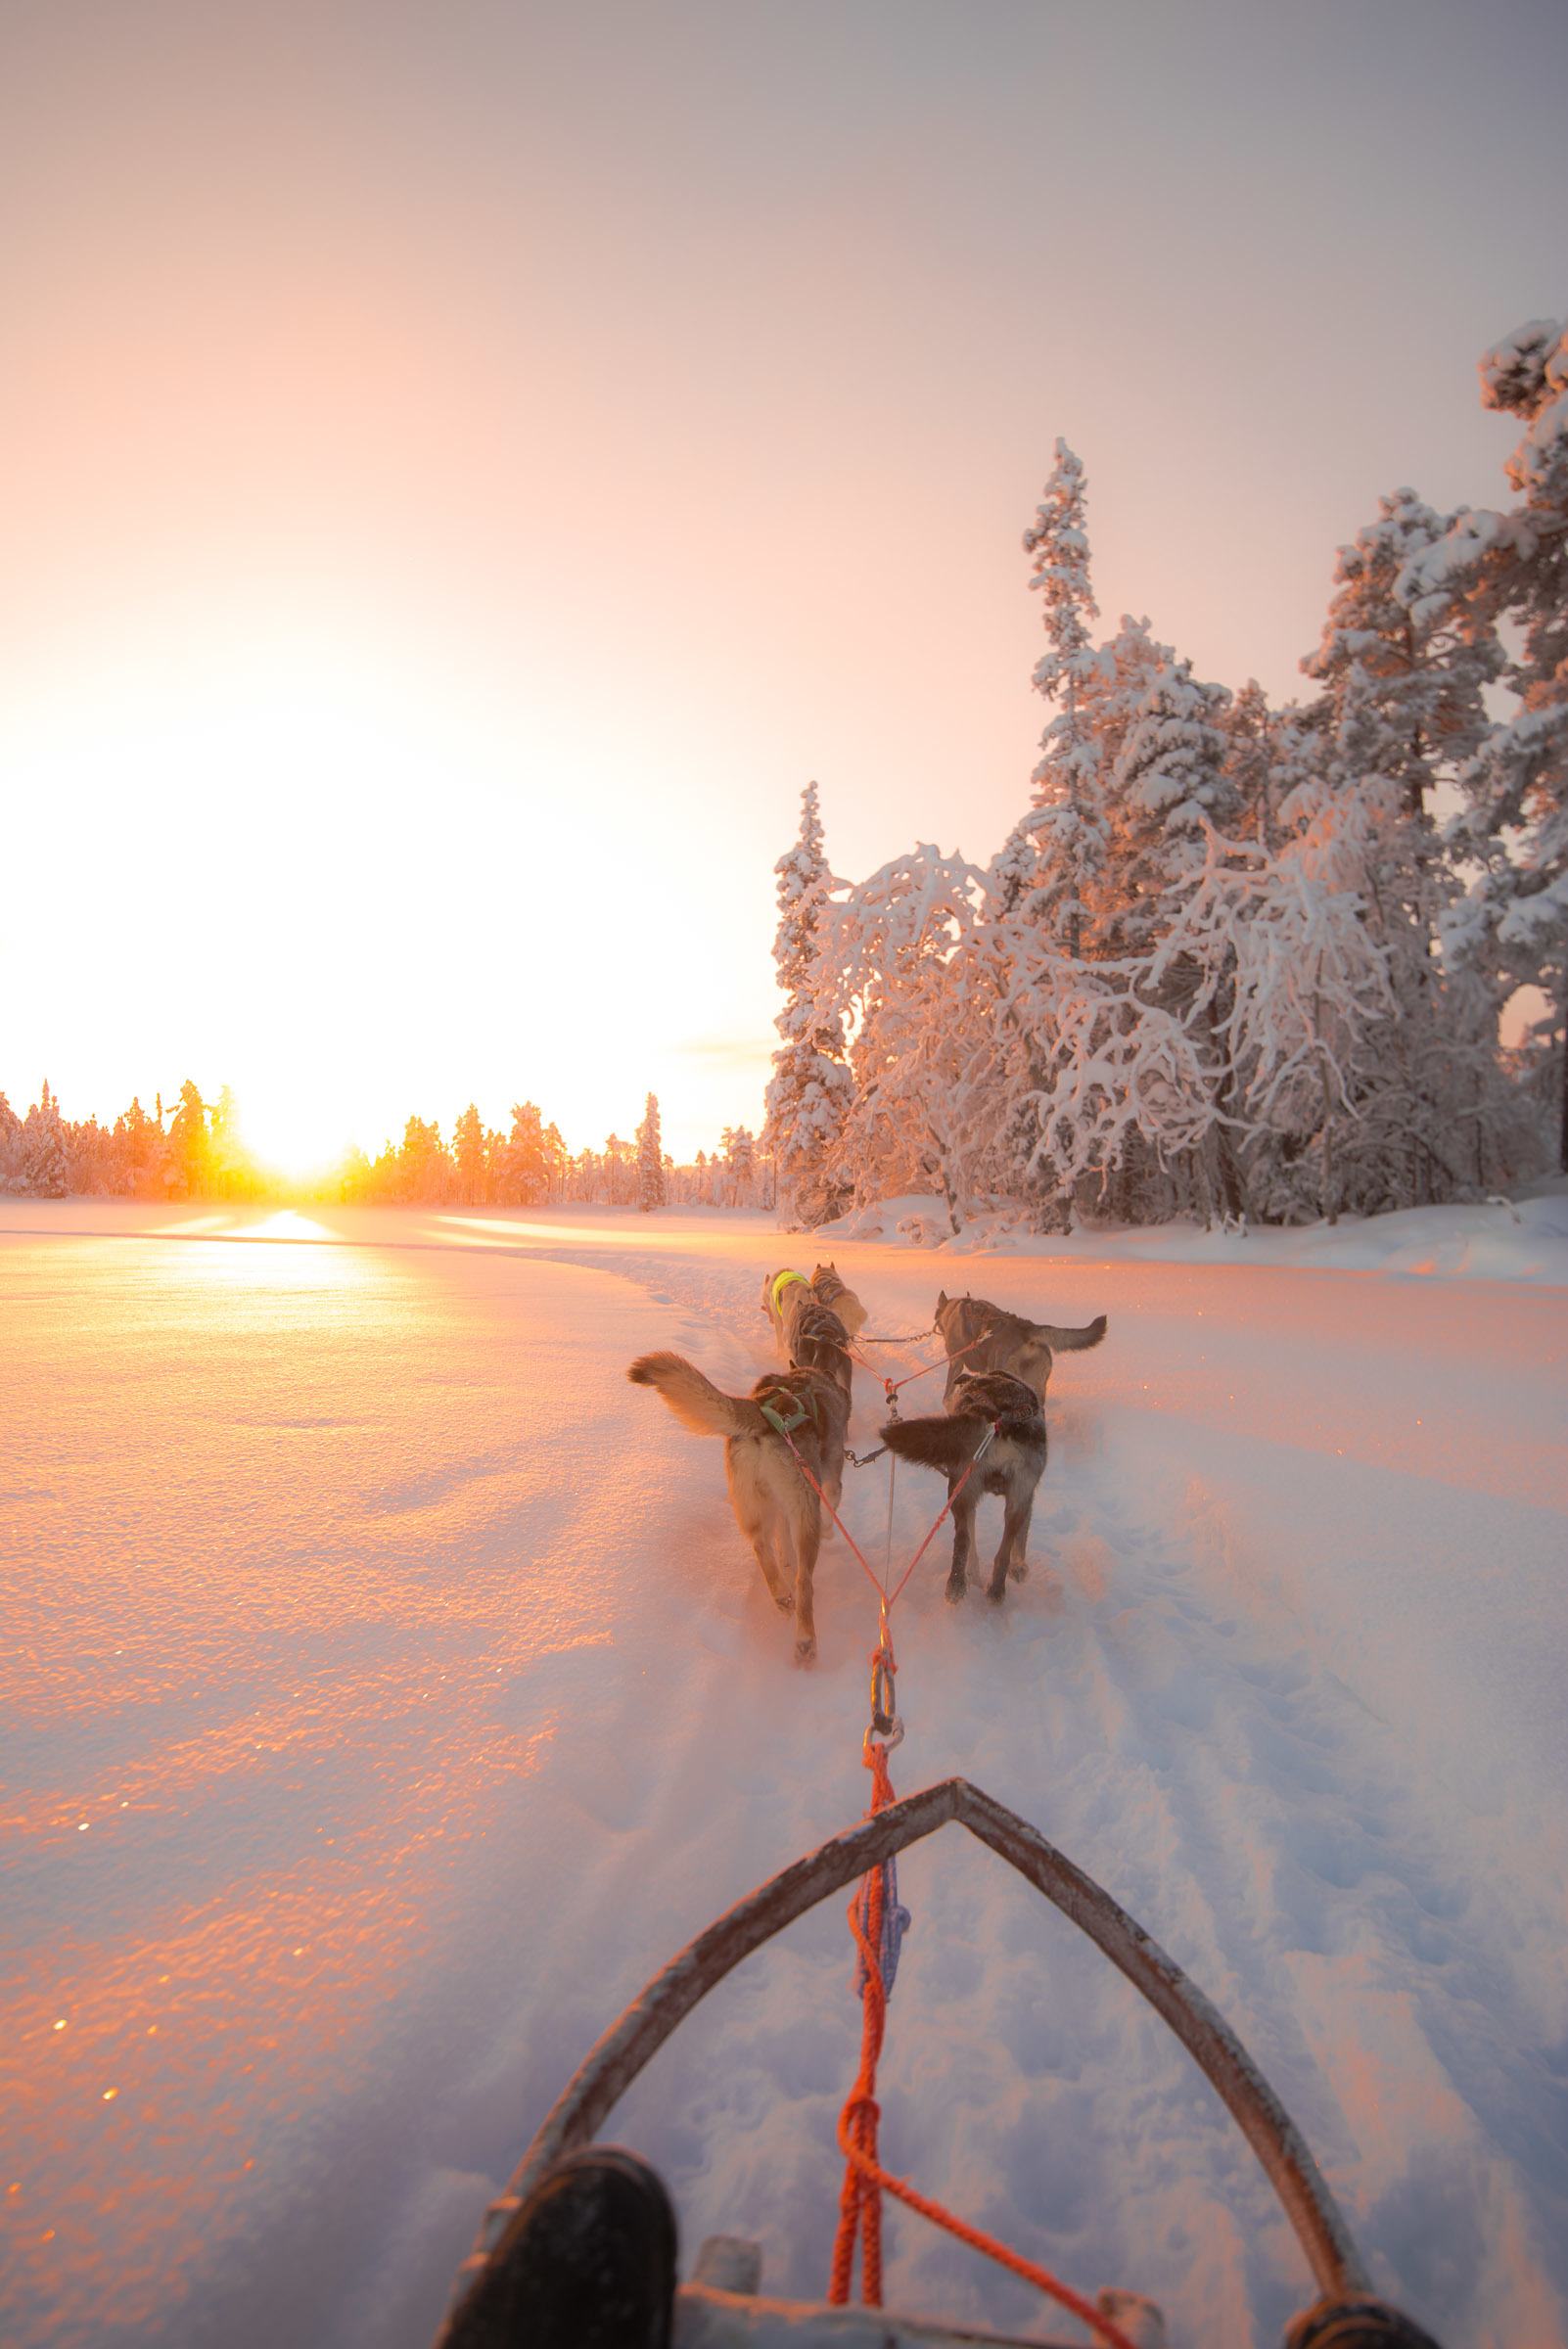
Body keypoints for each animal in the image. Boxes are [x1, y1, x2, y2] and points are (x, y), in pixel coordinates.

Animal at [628, 1353, 850, 1663]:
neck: (809, 1377)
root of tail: (765, 1413)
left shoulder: (780, 1508)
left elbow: (782, 1543)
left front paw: (786, 1560)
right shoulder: (828, 1481)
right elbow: (832, 1504)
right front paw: (829, 1531)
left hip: (755, 1506)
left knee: (760, 1545)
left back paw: (781, 1595)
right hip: (805, 1512)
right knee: (804, 1581)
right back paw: (805, 1641)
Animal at [877, 1371, 1046, 1606]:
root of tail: (999, 1417)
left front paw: (974, 1575)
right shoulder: (1026, 1498)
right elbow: (1020, 1538)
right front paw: (1018, 1567)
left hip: (965, 1491)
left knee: (967, 1540)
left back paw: (964, 1586)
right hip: (996, 1495)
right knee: (998, 1544)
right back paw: (987, 1587)